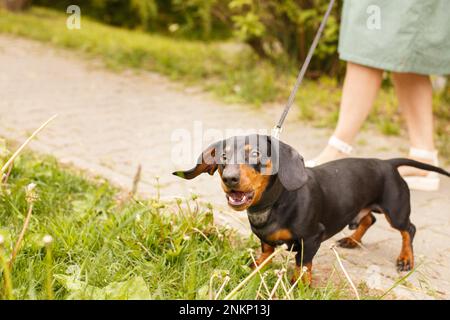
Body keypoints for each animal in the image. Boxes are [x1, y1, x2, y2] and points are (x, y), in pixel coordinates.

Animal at [173, 134, 450, 284]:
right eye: (222, 157)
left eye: (257, 154)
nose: (229, 178)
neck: (273, 203)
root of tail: (388, 163)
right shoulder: (266, 242)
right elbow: (263, 256)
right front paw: (252, 270)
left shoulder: (312, 238)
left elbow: (302, 265)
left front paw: (299, 285)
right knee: (369, 219)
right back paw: (351, 240)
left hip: (396, 211)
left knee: (408, 229)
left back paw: (405, 258)